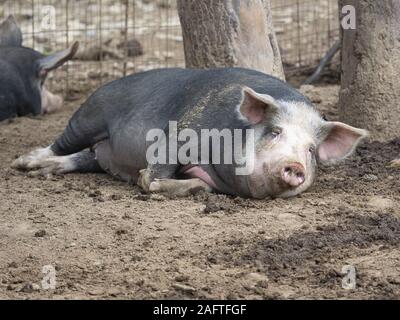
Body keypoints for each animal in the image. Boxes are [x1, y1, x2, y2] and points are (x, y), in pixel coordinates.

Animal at [11, 67, 368, 198]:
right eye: (274, 131)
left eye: (310, 149)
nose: (294, 165)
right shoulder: (180, 134)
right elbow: (153, 173)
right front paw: (156, 181)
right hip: (87, 116)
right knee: (60, 144)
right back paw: (23, 164)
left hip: (95, 150)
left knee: (82, 158)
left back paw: (43, 171)